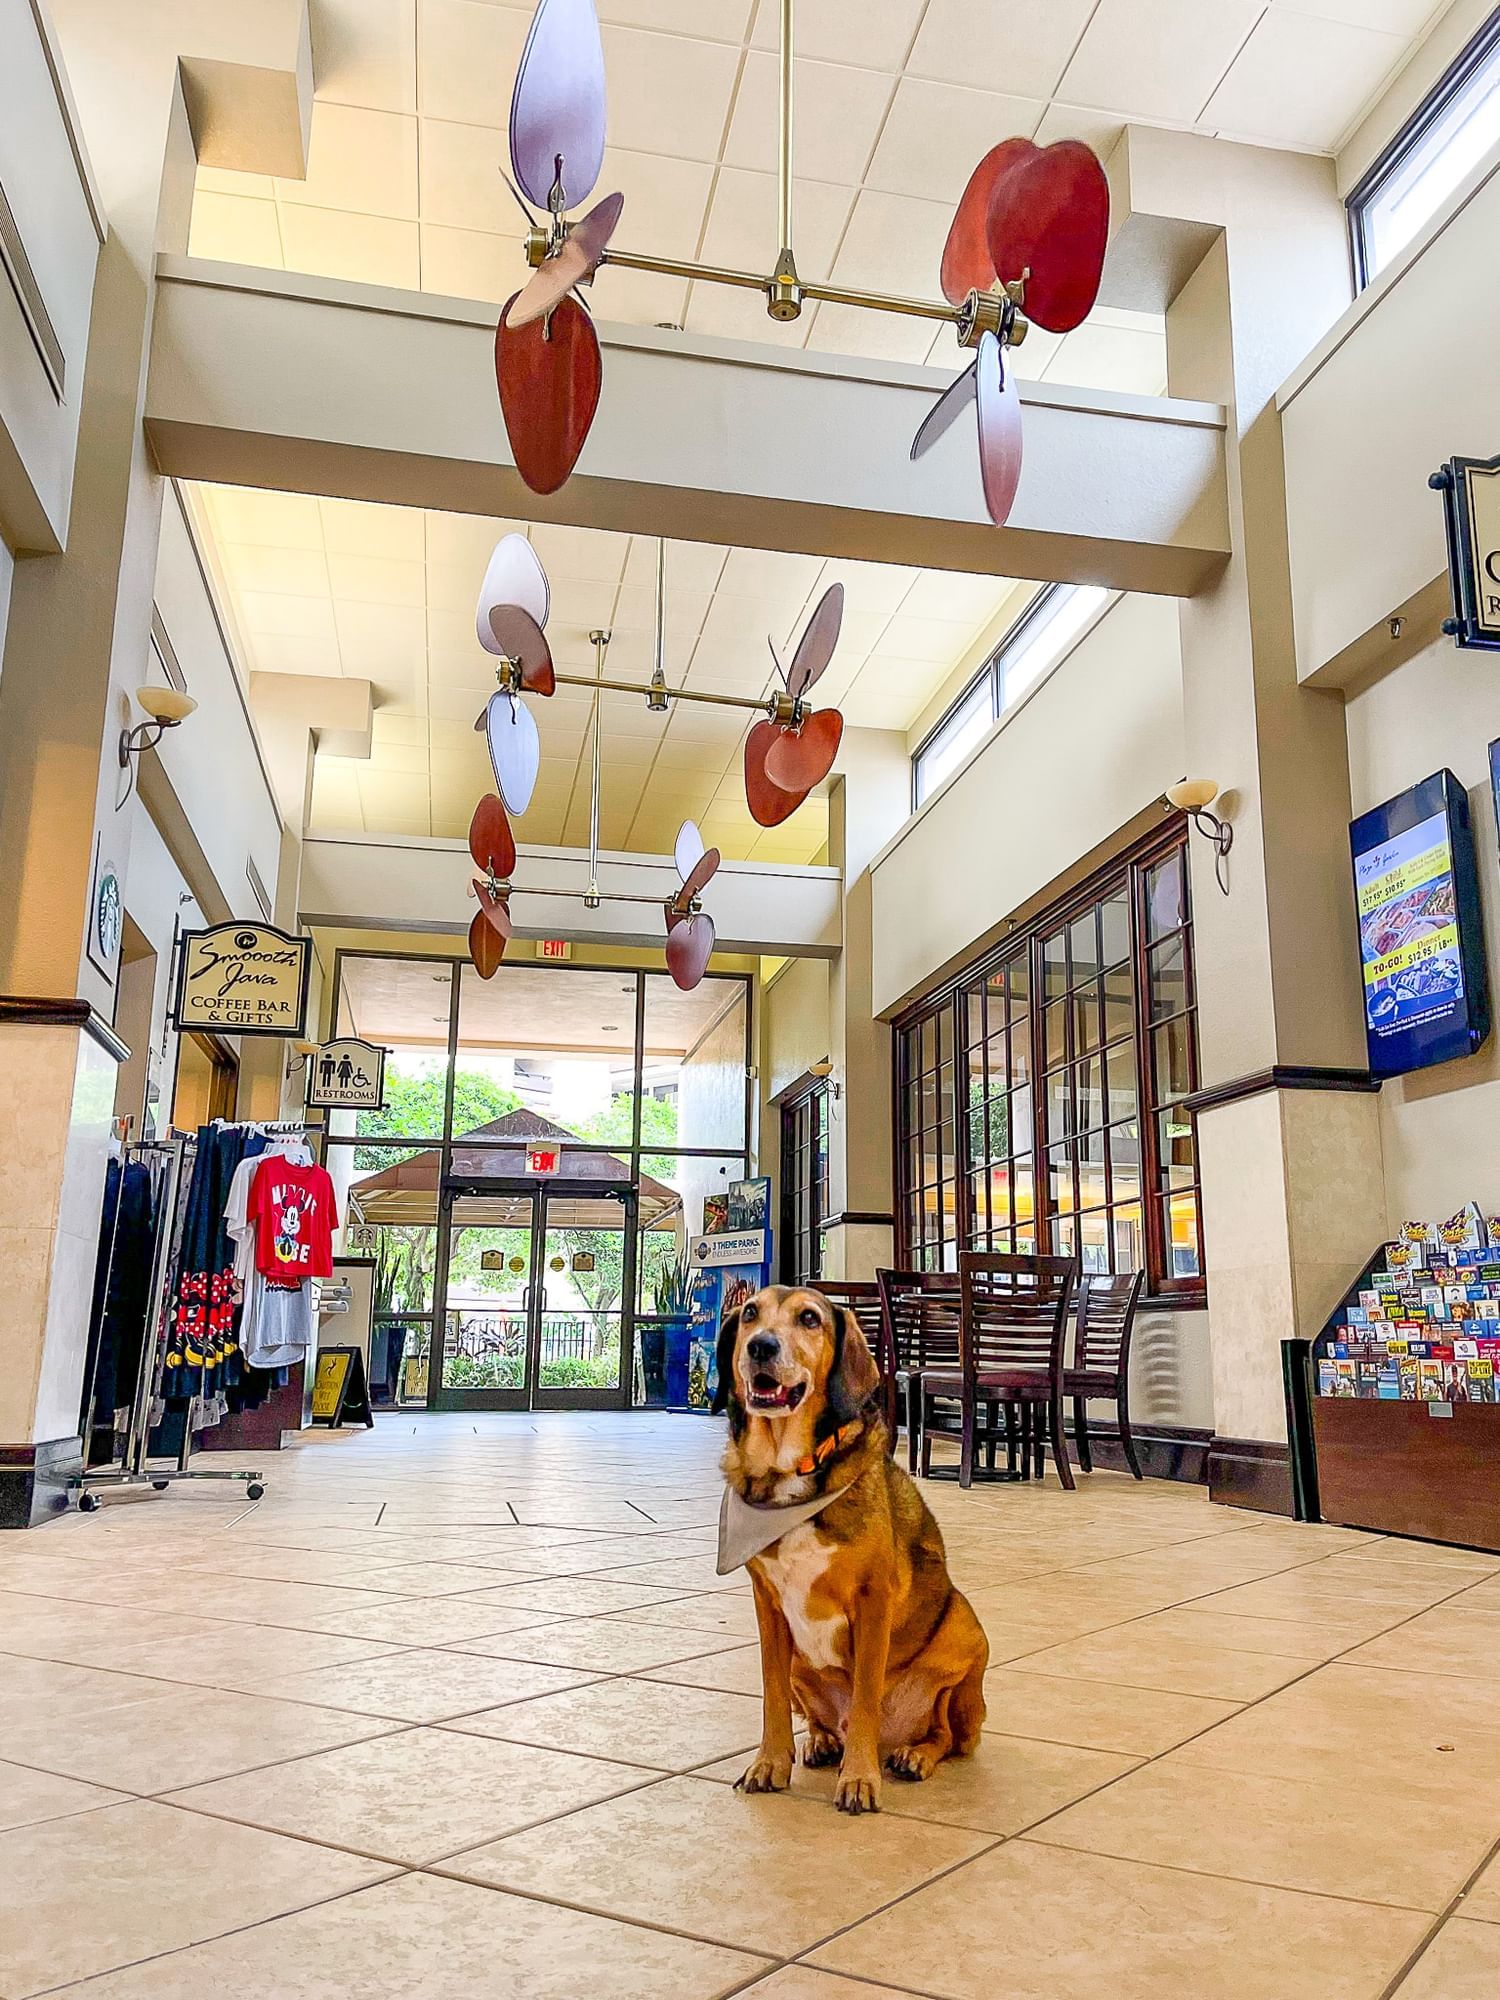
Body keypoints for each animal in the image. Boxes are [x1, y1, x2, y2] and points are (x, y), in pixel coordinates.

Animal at [712, 1280, 988, 1816]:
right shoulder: (767, 1607)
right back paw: (821, 1741)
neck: (789, 1472)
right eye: (750, 1313)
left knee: (947, 1735)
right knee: (821, 1719)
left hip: (966, 1635)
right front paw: (769, 1762)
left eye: (810, 1319)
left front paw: (859, 1779)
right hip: (801, 1664)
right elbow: (771, 1694)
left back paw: (913, 1755)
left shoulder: (873, 1602)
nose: (761, 1347)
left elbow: (865, 1699)